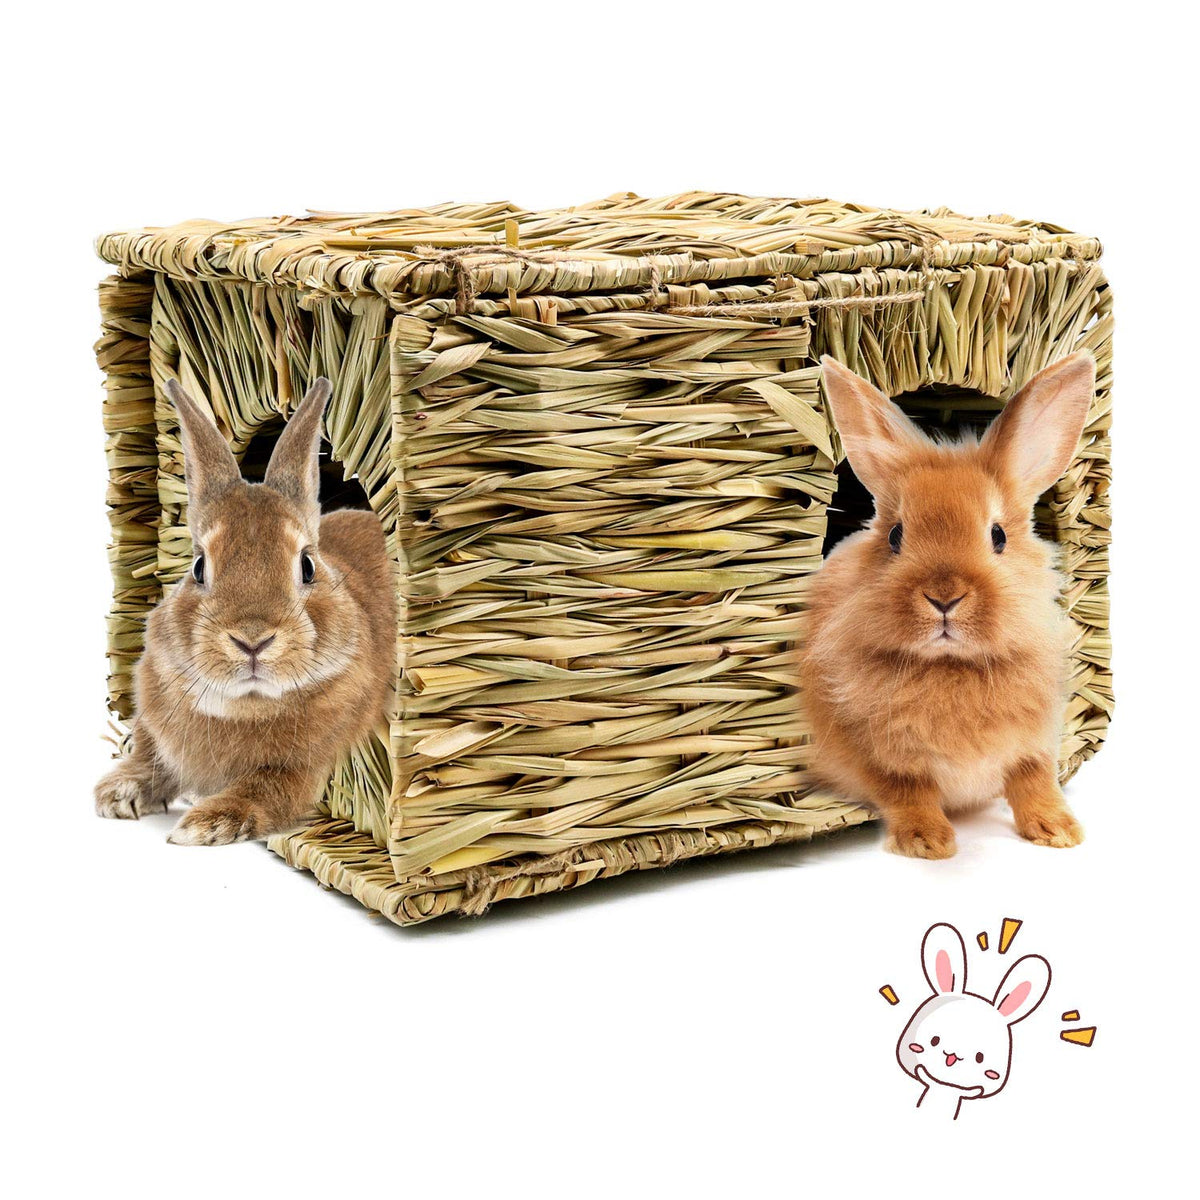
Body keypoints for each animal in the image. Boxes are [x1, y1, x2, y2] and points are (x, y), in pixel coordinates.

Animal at [94, 377, 396, 846]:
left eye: (307, 566)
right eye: (199, 567)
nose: (252, 640)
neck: (246, 705)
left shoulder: (301, 769)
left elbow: (264, 790)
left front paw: (203, 825)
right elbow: (151, 757)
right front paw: (117, 793)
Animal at [800, 352, 1096, 859]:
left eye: (998, 536)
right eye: (895, 536)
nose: (944, 597)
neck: (951, 666)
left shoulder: (1035, 743)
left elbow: (1034, 780)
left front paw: (1059, 832)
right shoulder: (879, 757)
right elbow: (908, 789)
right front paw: (928, 842)